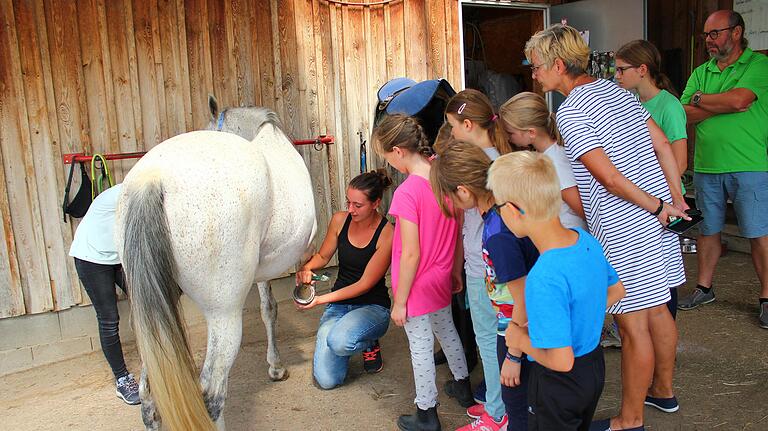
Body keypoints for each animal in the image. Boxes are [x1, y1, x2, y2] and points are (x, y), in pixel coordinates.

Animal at [115, 105, 318, 431]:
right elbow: (275, 306)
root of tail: (153, 179)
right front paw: (277, 366)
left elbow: (268, 309)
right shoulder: (302, 253)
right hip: (223, 314)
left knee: (148, 393)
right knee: (211, 393)